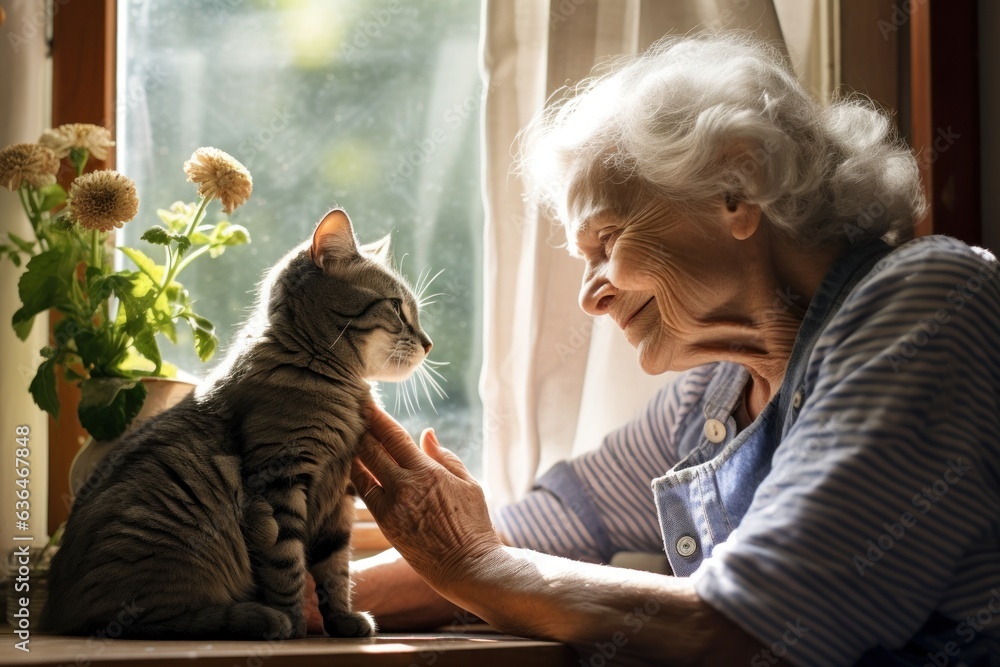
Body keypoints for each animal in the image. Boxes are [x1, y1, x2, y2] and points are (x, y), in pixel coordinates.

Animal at [40, 210, 430, 640]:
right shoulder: (280, 478)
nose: (428, 343)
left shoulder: (338, 497)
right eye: (396, 308)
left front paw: (342, 620)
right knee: (146, 621)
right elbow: (287, 563)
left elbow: (335, 569)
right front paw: (296, 621)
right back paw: (262, 618)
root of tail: (53, 612)